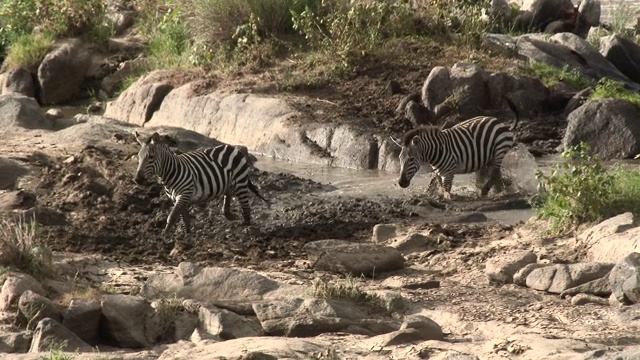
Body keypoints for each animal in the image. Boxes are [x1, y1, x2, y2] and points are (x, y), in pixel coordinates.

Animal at [132, 131, 268, 233]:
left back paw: (246, 226)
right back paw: (228, 214)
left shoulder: (184, 194)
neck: (170, 172)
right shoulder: (177, 198)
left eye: (151, 157)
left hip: (240, 182)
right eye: (138, 157)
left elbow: (172, 216)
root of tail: (231, 147)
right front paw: (187, 233)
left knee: (245, 205)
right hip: (228, 182)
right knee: (228, 194)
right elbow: (183, 216)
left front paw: (164, 235)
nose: (138, 179)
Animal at [390, 113, 520, 200]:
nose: (401, 183)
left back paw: (485, 191)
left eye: (411, 159)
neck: (436, 151)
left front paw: (446, 198)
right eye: (400, 159)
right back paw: (501, 190)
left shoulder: (448, 173)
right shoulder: (439, 173)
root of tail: (497, 121)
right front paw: (432, 194)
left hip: (499, 151)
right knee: (496, 174)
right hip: (488, 157)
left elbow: (447, 192)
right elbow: (437, 185)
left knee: (494, 173)